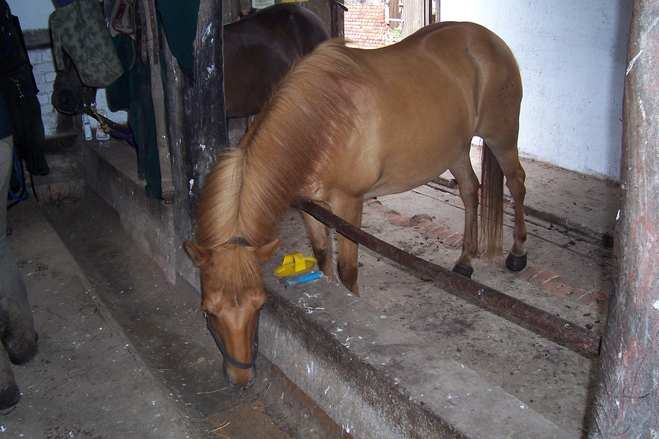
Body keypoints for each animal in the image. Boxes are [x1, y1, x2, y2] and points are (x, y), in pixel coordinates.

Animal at [186, 22, 524, 390]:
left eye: (260, 305)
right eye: (209, 309)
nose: (241, 378)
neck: (323, 124)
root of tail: (490, 39)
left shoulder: (349, 204)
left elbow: (347, 270)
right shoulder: (310, 205)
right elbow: (323, 258)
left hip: (501, 138)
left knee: (517, 184)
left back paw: (518, 254)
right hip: (457, 148)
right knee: (470, 191)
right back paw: (465, 260)